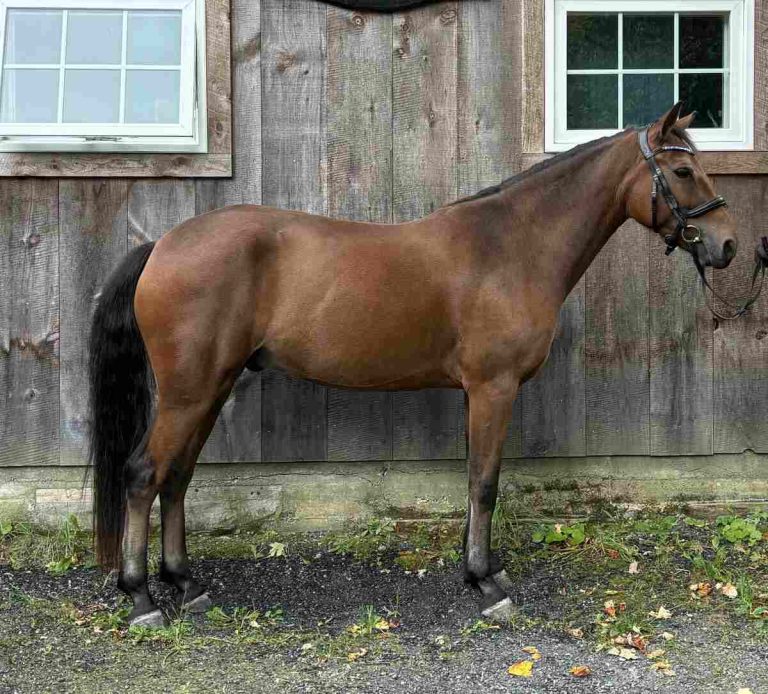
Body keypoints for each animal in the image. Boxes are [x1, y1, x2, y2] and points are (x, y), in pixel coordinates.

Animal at [88, 103, 736, 632]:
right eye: (683, 173)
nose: (727, 245)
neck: (510, 246)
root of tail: (163, 245)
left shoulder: (475, 392)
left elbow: (474, 480)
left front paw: (477, 571)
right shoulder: (494, 388)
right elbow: (485, 483)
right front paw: (487, 584)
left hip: (211, 388)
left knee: (176, 478)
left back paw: (186, 584)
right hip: (187, 392)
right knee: (144, 474)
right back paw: (141, 597)